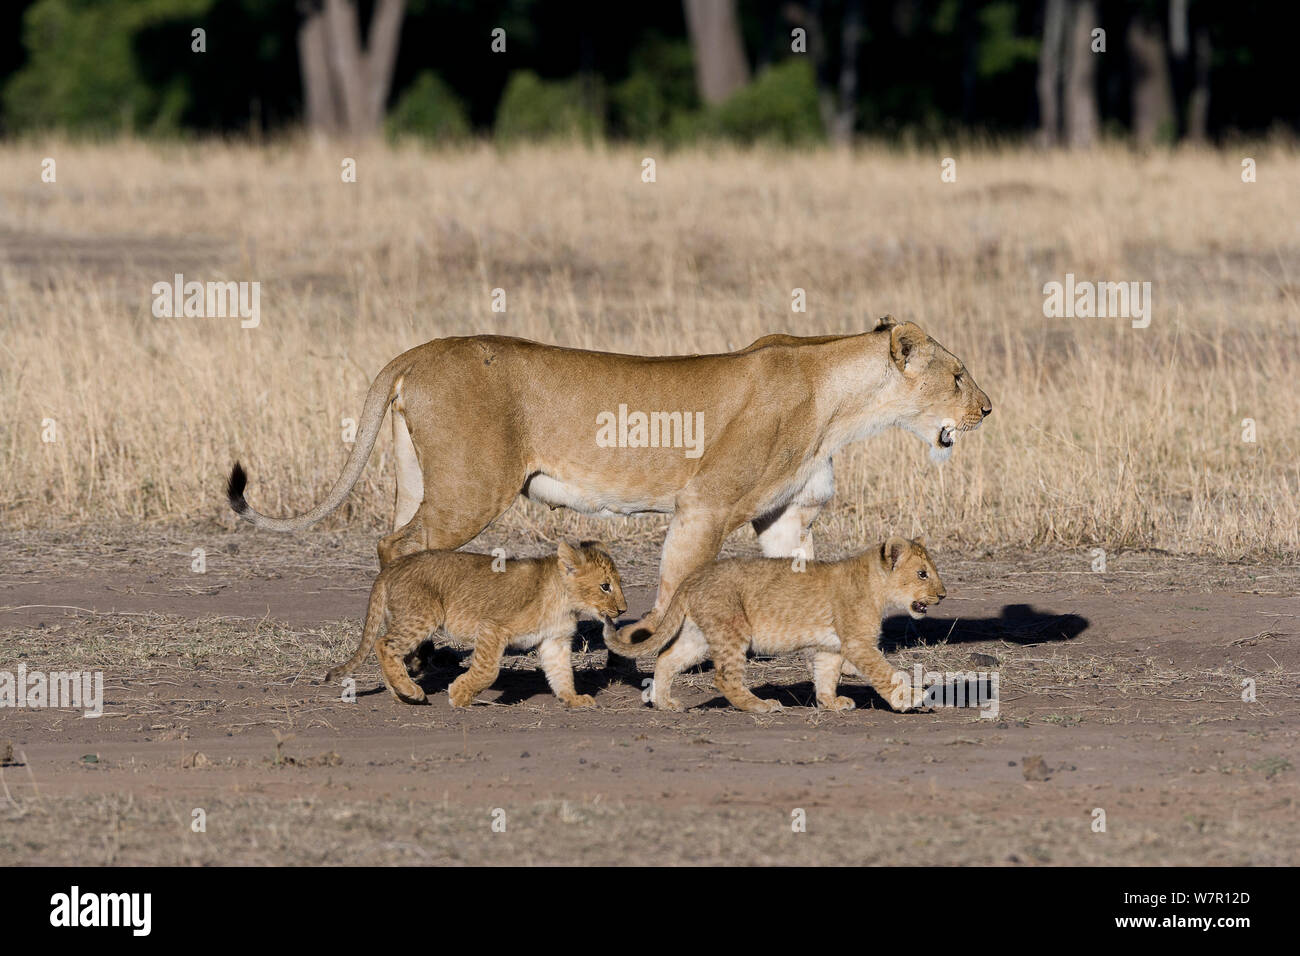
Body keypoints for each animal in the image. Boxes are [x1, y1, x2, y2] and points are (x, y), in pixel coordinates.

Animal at [226, 315, 990, 643]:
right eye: (957, 375)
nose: (987, 408)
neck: (839, 403)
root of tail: (416, 351)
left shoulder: (784, 517)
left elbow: (802, 579)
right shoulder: (704, 504)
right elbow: (680, 583)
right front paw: (652, 649)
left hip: (420, 480)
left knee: (396, 544)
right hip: (472, 488)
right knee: (400, 548)